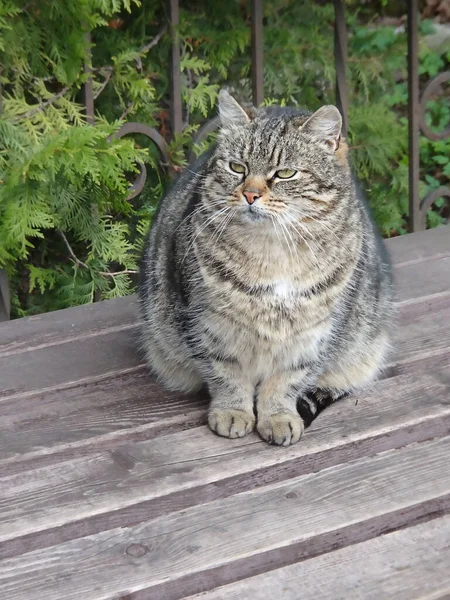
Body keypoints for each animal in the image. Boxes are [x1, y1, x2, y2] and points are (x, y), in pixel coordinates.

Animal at [139, 89, 392, 446]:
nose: (250, 194)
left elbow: (287, 381)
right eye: (237, 167)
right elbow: (226, 374)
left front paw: (278, 416)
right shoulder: (207, 323)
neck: (274, 252)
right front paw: (232, 412)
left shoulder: (314, 334)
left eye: (285, 173)